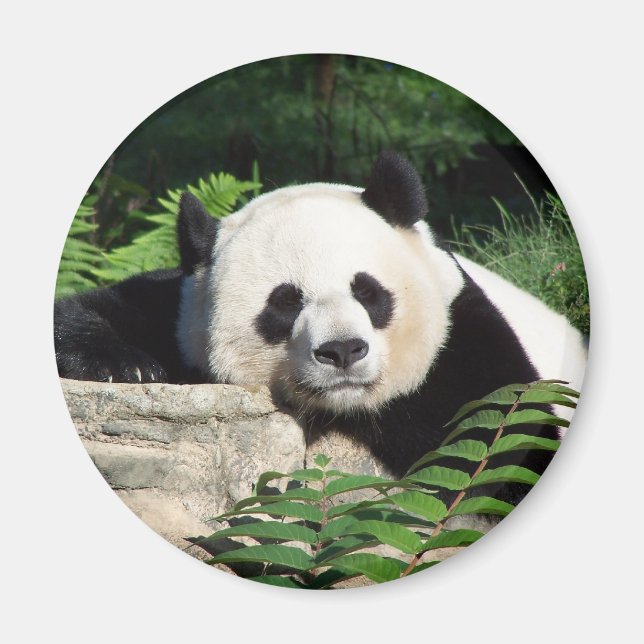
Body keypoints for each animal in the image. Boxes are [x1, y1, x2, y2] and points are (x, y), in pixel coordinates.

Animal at [55, 151, 587, 506]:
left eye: (368, 291)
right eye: (286, 303)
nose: (343, 351)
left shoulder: (464, 342)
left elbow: (502, 441)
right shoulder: (179, 312)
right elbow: (94, 308)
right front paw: (123, 365)